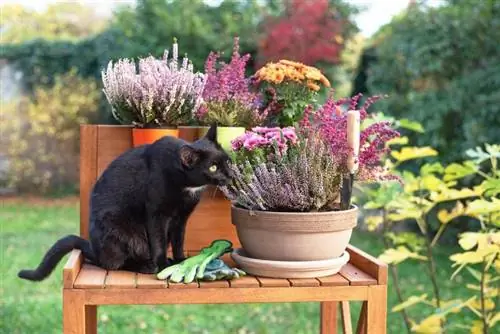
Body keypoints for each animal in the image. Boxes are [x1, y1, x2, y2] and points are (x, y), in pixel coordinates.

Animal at [17, 124, 232, 280]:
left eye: (227, 160)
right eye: (213, 167)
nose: (230, 175)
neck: (187, 185)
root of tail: (94, 249)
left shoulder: (181, 217)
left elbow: (179, 240)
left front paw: (181, 260)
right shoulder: (156, 214)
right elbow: (159, 241)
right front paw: (164, 264)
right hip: (121, 231)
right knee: (114, 263)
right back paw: (146, 265)